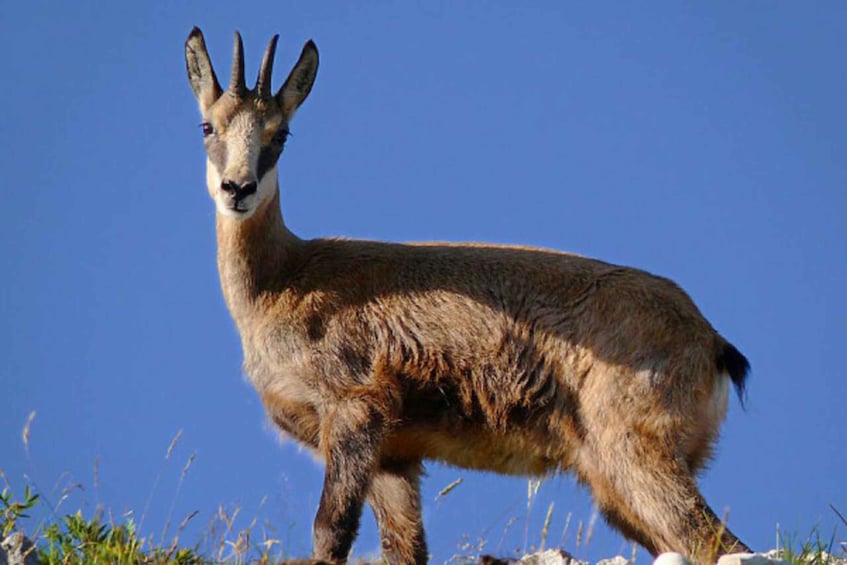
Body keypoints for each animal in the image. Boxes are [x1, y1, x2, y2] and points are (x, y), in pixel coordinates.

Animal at [185, 28, 752, 564]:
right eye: (208, 126)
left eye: (281, 133)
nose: (239, 189)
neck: (285, 280)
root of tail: (711, 341)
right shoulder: (395, 455)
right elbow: (405, 548)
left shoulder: (355, 408)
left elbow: (332, 530)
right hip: (612, 480)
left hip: (635, 447)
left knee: (715, 540)